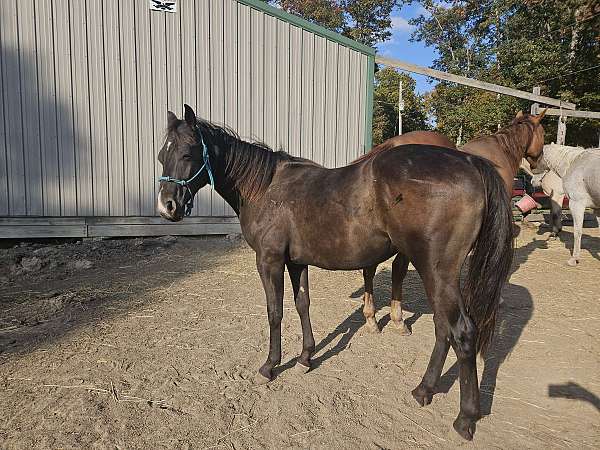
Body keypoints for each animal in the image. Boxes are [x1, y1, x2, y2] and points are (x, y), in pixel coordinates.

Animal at [157, 105, 512, 440]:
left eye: (187, 153)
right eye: (162, 156)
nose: (167, 206)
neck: (267, 188)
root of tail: (468, 161)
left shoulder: (269, 260)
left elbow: (275, 312)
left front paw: (271, 366)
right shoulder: (296, 262)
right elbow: (302, 305)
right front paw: (306, 357)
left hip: (437, 271)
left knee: (462, 332)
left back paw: (465, 418)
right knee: (443, 328)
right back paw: (423, 390)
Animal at [358, 110, 548, 334]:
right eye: (543, 133)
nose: (540, 166)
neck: (502, 151)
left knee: (372, 269)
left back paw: (372, 319)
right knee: (397, 270)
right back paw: (397, 319)